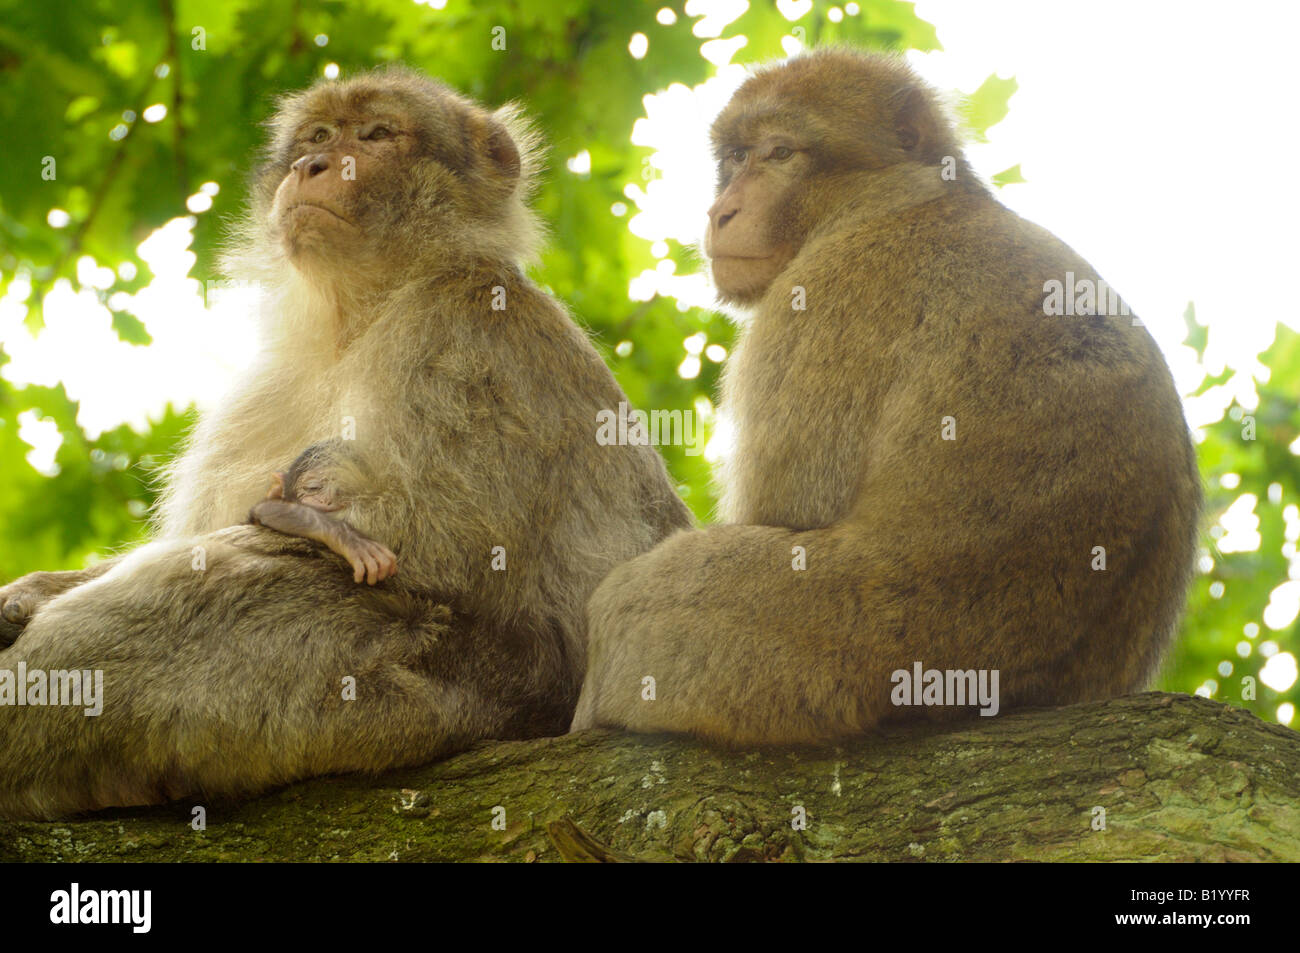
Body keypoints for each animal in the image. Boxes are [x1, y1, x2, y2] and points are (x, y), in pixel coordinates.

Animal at [574, 50, 1201, 743]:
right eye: (736, 157)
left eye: (780, 152)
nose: (721, 212)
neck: (889, 199)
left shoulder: (823, 295)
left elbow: (790, 508)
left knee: (629, 609)